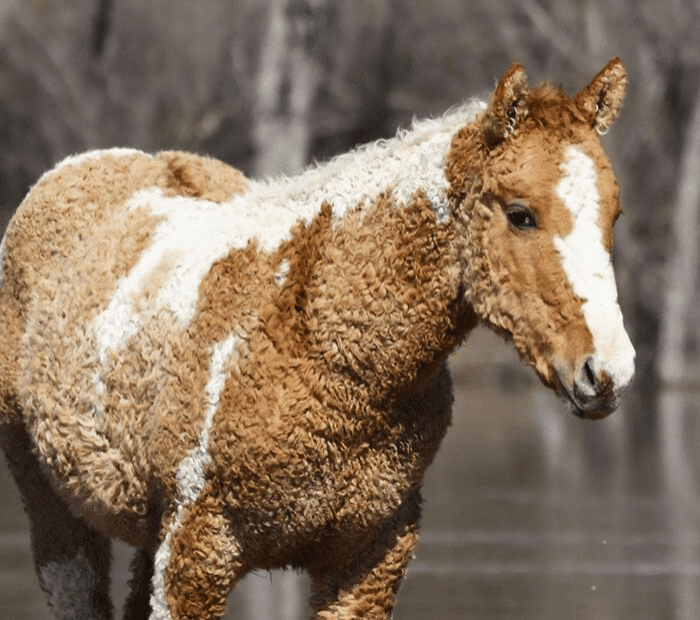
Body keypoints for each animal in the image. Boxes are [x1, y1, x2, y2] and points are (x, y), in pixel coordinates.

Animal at [0, 59, 636, 620]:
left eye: (614, 215)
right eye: (521, 213)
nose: (607, 371)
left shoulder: (368, 557)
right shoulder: (196, 552)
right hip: (54, 508)